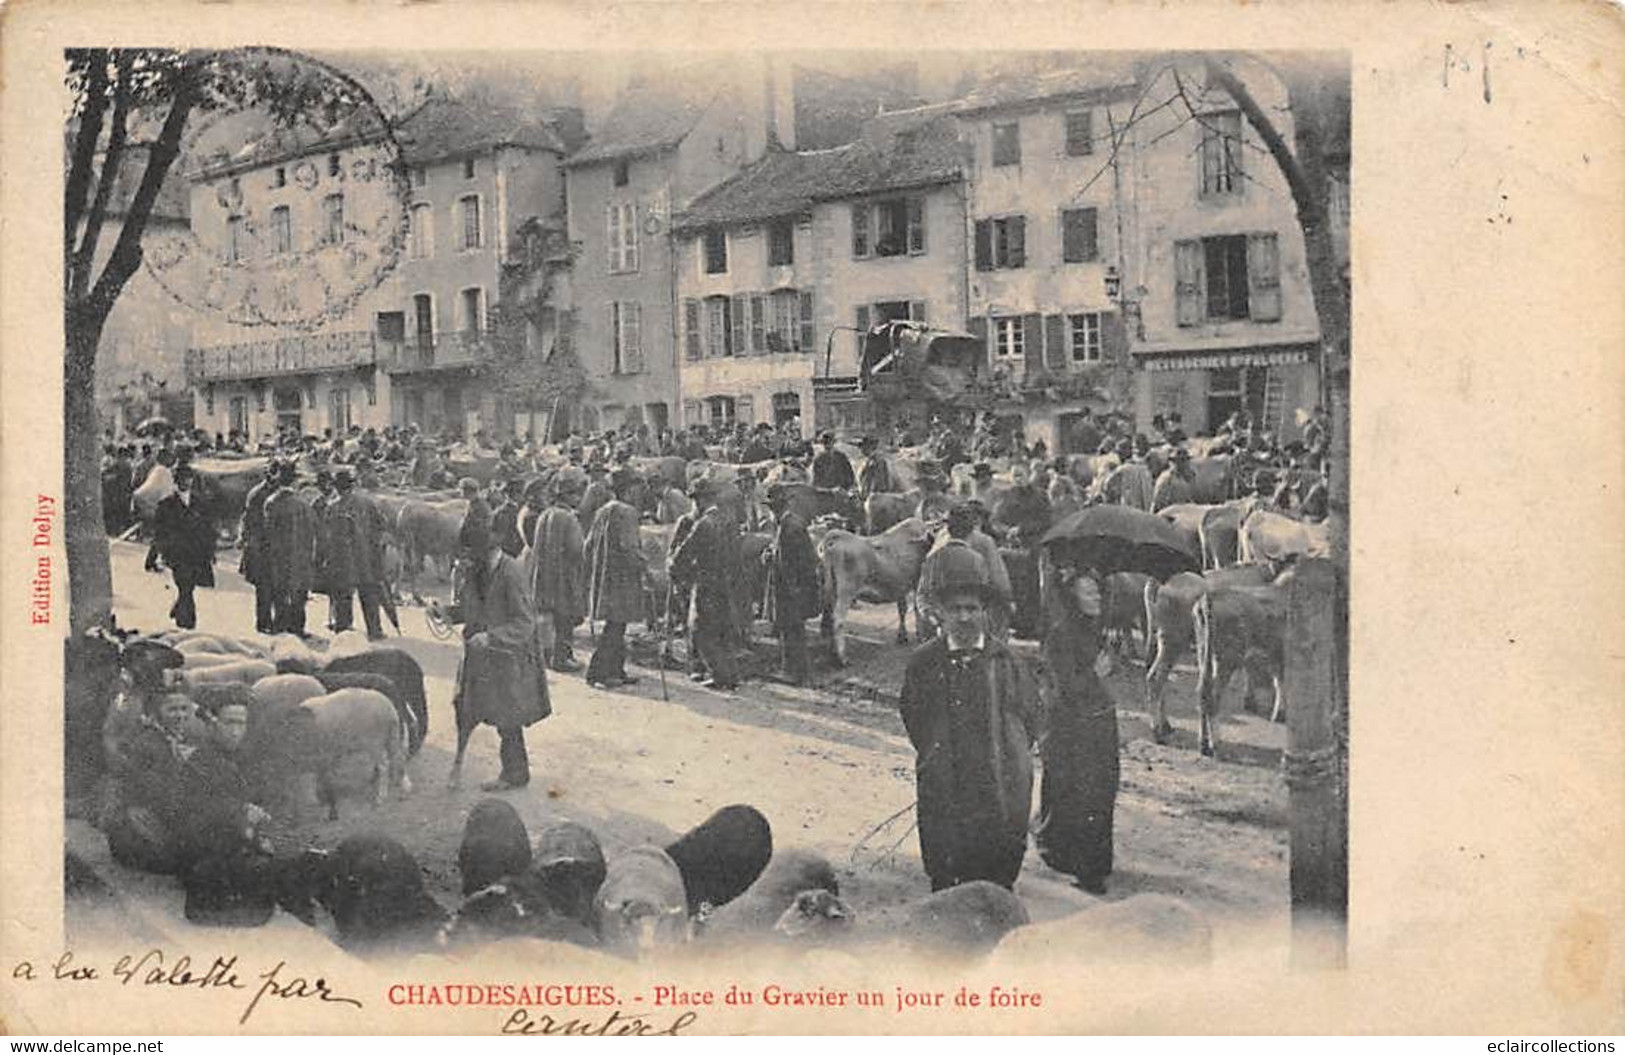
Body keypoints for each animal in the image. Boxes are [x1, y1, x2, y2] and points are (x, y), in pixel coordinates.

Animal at [819, 513, 936, 663]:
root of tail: (835, 536)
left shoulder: (900, 584)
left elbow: (902, 609)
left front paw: (902, 636)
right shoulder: (916, 582)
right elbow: (916, 608)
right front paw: (920, 636)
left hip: (830, 589)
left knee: (828, 615)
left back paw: (832, 651)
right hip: (846, 592)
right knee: (838, 619)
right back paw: (842, 657)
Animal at [1150, 562, 1274, 744]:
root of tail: (1161, 587)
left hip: (1166, 643)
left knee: (1155, 679)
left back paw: (1164, 728)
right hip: (1174, 644)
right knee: (1159, 681)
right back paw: (1161, 732)